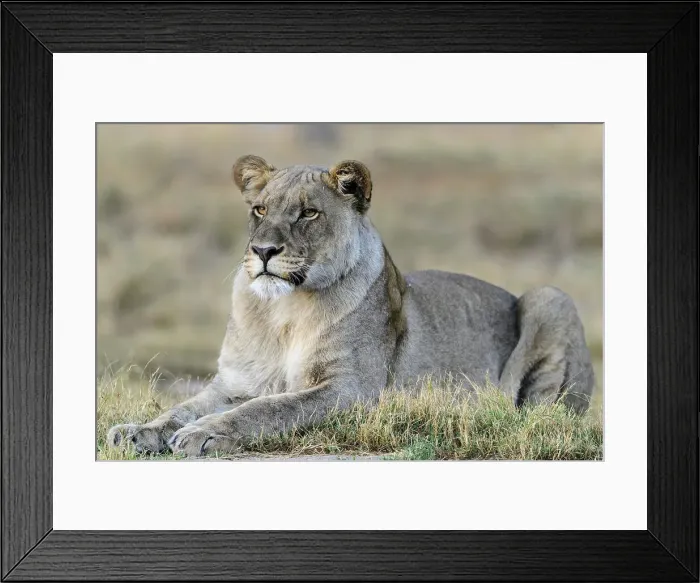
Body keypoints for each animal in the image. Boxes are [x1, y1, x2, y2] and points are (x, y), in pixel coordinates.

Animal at [107, 155, 596, 457]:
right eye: (260, 209)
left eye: (308, 213)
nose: (263, 251)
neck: (284, 312)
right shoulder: (233, 382)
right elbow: (181, 408)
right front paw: (136, 431)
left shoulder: (351, 390)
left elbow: (268, 409)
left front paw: (204, 434)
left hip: (550, 298)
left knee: (539, 415)